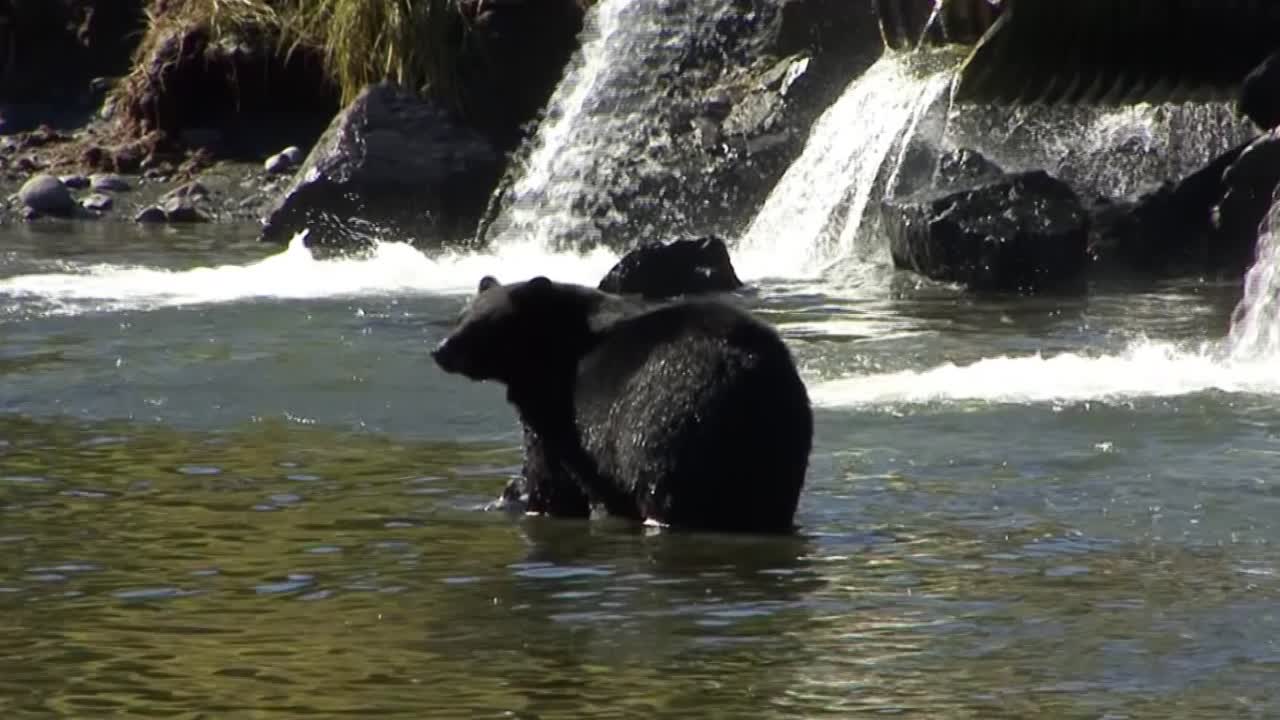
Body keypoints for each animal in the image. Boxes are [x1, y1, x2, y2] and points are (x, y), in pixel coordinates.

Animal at [431, 275, 812, 533]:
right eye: (462, 316)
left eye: (482, 323)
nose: (441, 350)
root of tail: (739, 370)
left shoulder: (554, 403)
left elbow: (551, 471)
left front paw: (535, 502)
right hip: (780, 436)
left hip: (665, 420)